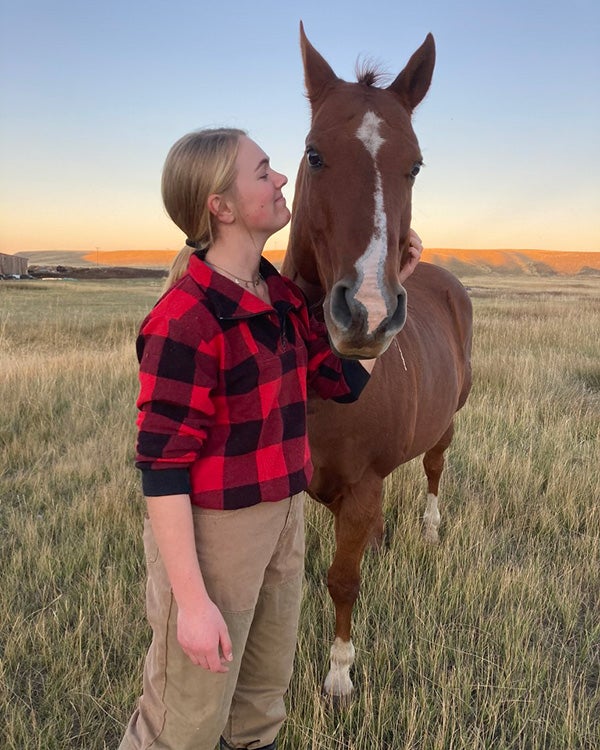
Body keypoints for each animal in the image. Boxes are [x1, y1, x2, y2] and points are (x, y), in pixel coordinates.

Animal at [282, 24, 473, 702]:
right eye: (313, 153)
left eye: (413, 165)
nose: (365, 311)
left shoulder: (360, 489)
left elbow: (343, 580)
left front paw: (339, 676)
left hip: (448, 421)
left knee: (435, 466)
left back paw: (429, 528)